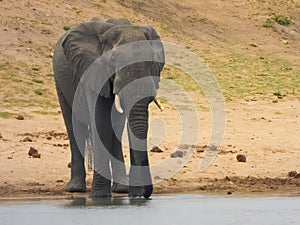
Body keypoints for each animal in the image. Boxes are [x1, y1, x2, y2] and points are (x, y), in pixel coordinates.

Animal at [51, 18, 164, 199]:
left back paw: (121, 189)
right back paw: (75, 189)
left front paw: (127, 193)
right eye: (112, 60)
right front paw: (99, 197)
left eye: (152, 60)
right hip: (60, 82)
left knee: (116, 129)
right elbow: (101, 124)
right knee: (74, 127)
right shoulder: (93, 71)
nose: (140, 195)